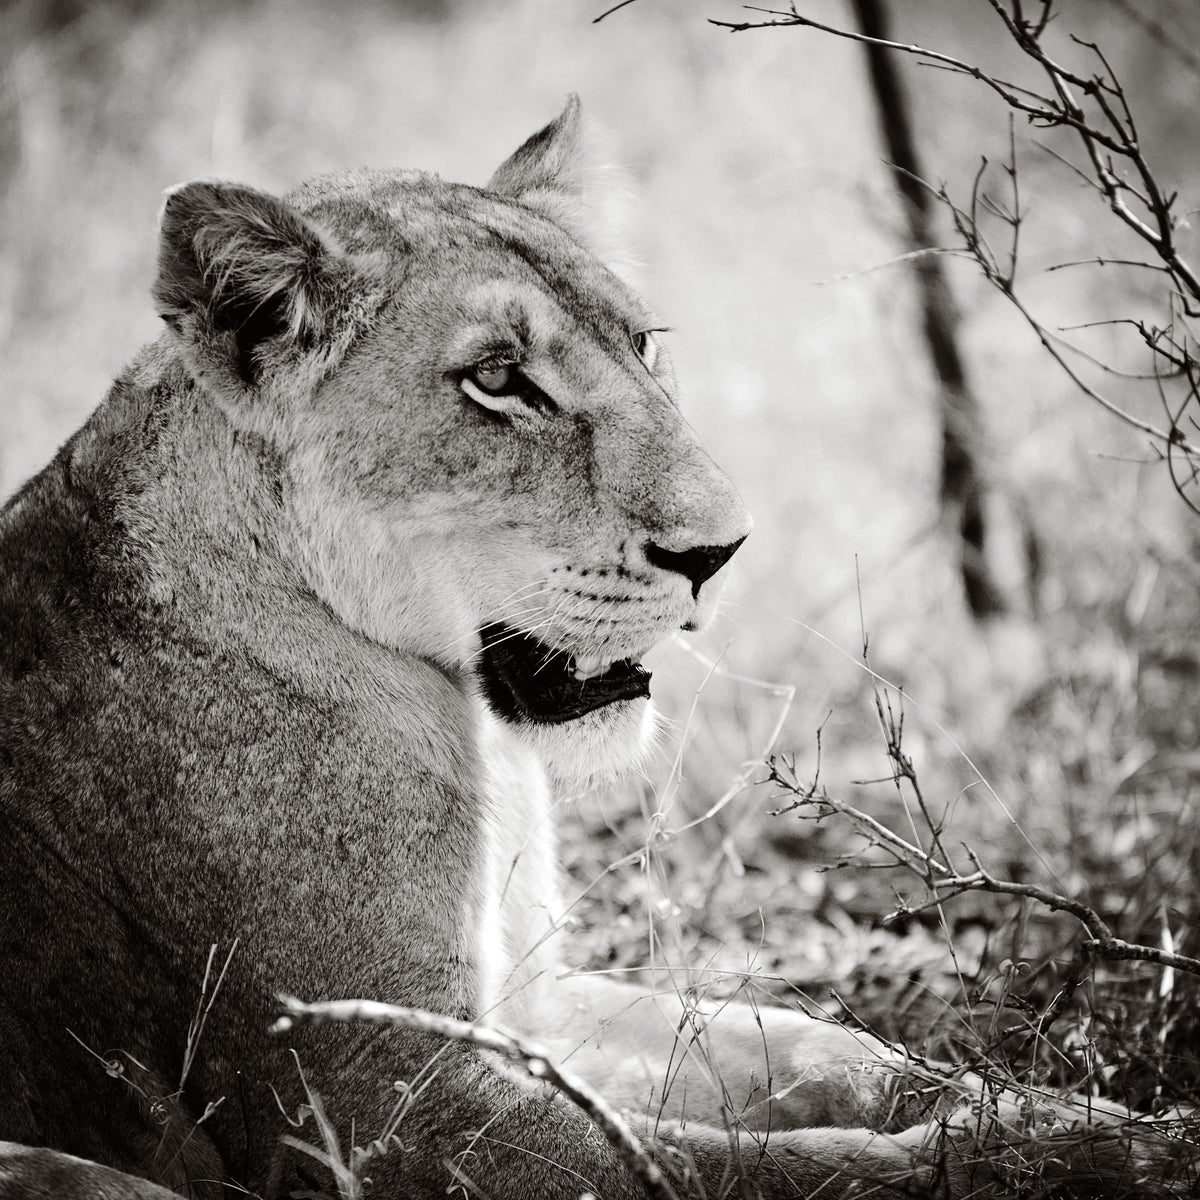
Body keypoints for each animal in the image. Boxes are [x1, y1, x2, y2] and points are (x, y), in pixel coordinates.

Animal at [0, 98, 1177, 1200]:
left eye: (643, 344)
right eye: (497, 379)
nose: (723, 551)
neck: (478, 741)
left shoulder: (533, 1004)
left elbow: (820, 1050)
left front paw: (1087, 1120)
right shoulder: (373, 1103)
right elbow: (743, 1170)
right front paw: (1080, 1162)